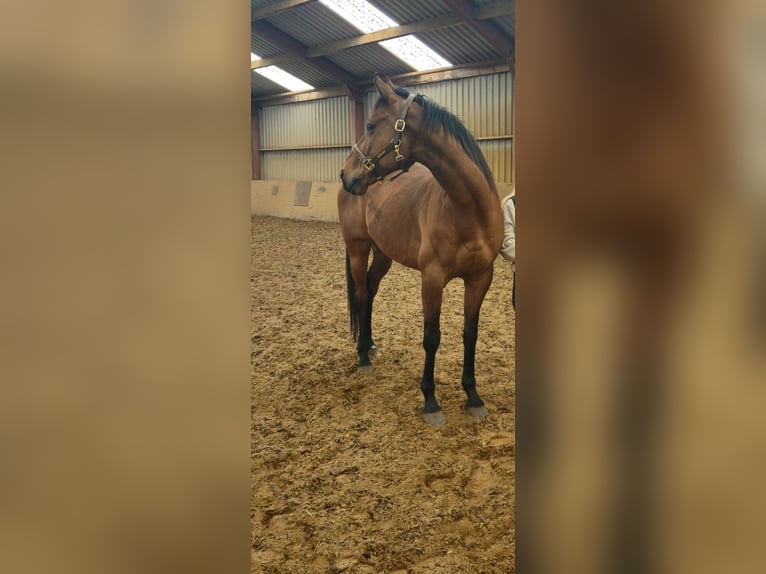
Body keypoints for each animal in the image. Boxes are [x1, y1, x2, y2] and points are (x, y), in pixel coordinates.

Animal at [340, 75, 508, 428]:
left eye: (371, 125)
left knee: (370, 291)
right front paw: (431, 401)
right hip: (358, 249)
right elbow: (432, 336)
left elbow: (470, 332)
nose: (346, 173)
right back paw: (363, 356)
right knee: (361, 294)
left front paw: (473, 396)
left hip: (383, 255)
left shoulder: (480, 278)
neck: (466, 209)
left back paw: (371, 345)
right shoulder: (432, 279)